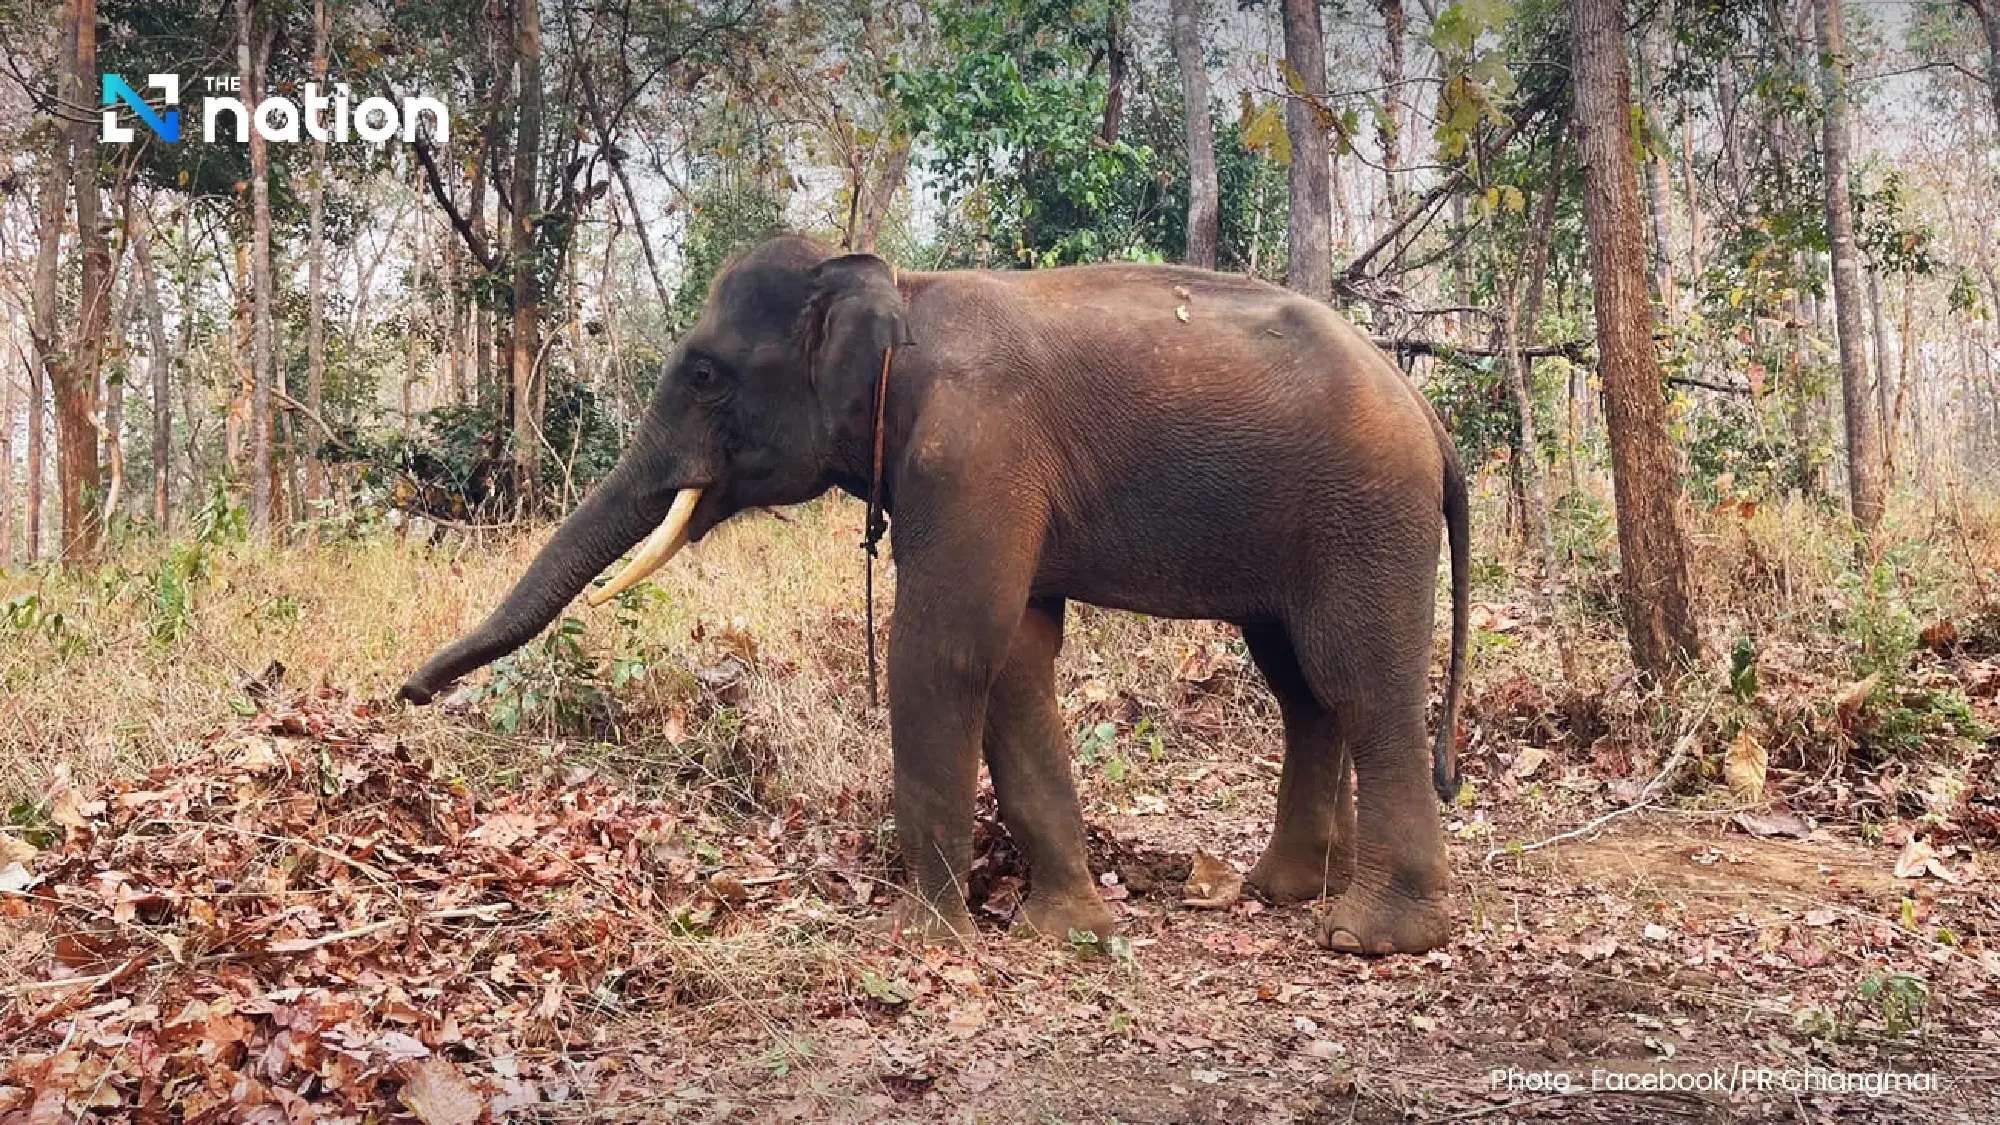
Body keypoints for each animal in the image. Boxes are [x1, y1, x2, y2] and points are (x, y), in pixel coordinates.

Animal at [400, 234, 1469, 955]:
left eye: (704, 374)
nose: (406, 694)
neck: (894, 291)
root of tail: (1429, 413)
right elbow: (1018, 658)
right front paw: (1065, 930)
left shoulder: (975, 453)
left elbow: (947, 647)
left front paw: (923, 938)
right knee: (1299, 682)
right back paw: (1285, 888)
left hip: (1366, 514)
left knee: (1359, 679)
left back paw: (1372, 935)